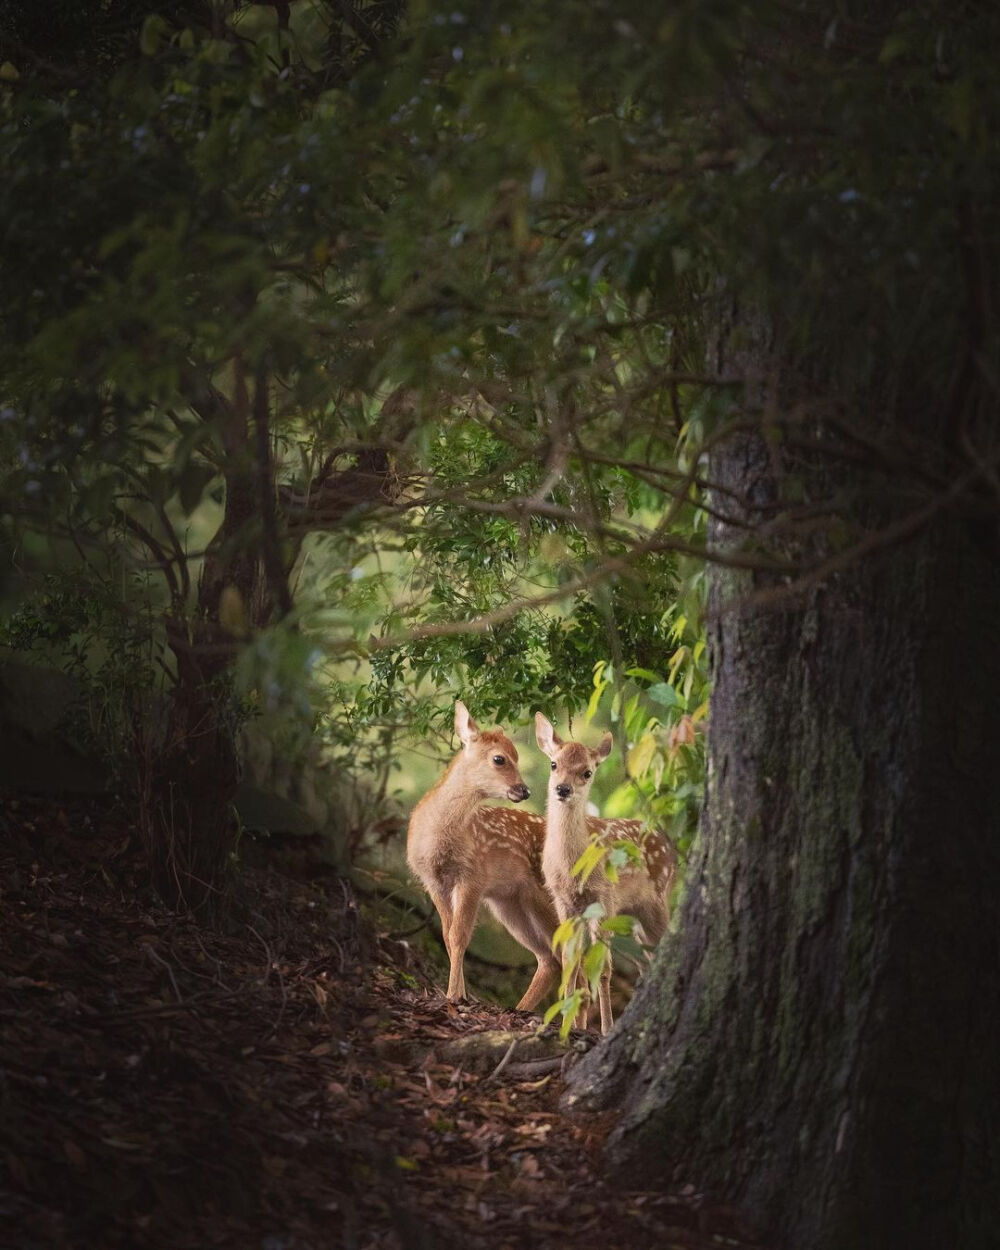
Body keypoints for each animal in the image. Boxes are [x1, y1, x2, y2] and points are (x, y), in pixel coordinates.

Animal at [405, 710, 562, 1010]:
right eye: (500, 758)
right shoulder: (433, 882)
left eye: (518, 757)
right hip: (511, 903)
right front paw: (459, 994)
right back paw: (522, 1009)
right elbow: (448, 935)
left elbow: (460, 936)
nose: (523, 790)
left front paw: (454, 996)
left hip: (547, 897)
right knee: (551, 958)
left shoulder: (473, 876)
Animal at [535, 715, 675, 1035]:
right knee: (647, 960)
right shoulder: (564, 903)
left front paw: (606, 1028)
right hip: (636, 916)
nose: (563, 789)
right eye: (553, 764)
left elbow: (603, 967)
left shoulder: (604, 898)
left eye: (587, 772)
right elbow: (571, 960)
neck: (572, 869)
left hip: (657, 901)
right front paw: (570, 1023)